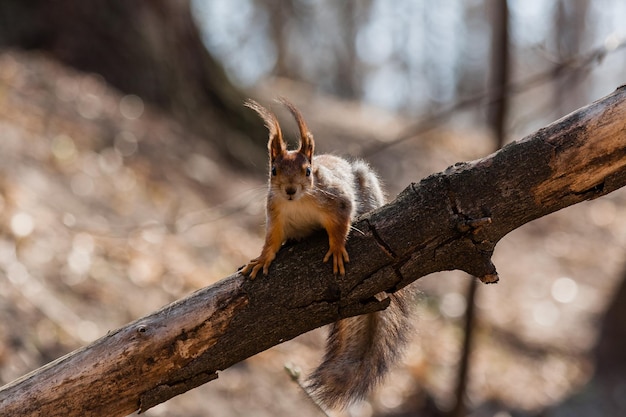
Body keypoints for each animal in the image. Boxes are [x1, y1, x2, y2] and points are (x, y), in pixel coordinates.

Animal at [241, 96, 412, 406]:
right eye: (274, 171)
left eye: (308, 171)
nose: (290, 190)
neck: (298, 202)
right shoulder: (275, 213)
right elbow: (271, 241)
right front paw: (261, 259)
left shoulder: (337, 200)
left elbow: (341, 223)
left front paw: (336, 248)